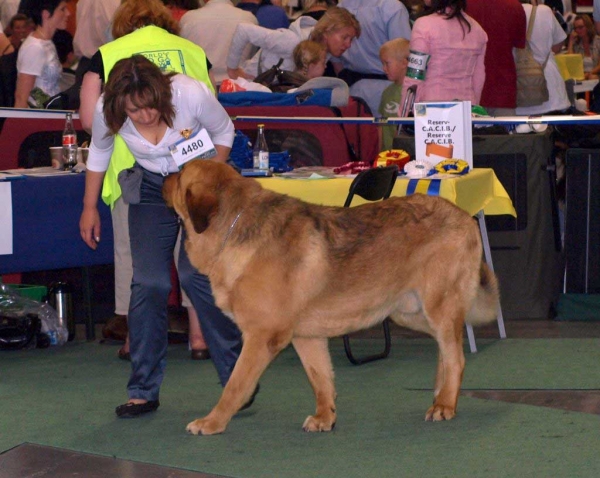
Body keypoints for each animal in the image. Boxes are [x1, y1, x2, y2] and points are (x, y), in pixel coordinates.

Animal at [162, 159, 500, 436]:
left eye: (180, 174)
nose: (162, 177)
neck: (234, 226)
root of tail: (464, 216)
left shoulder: (261, 337)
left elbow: (235, 385)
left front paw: (212, 422)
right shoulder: (307, 337)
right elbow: (321, 379)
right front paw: (325, 418)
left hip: (437, 306)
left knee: (456, 356)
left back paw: (445, 404)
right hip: (409, 312)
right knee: (447, 348)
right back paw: (440, 393)